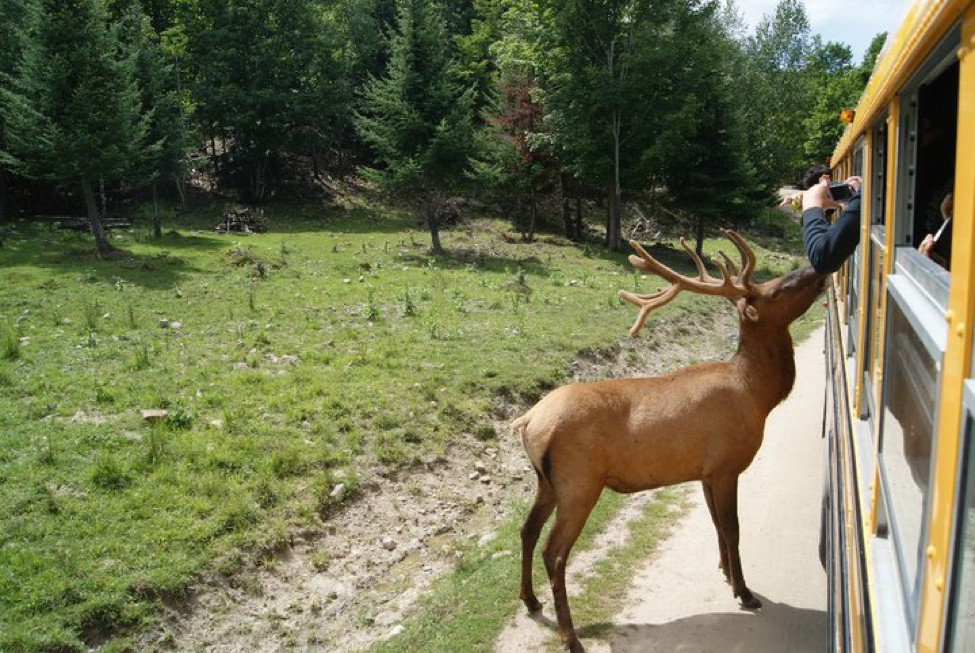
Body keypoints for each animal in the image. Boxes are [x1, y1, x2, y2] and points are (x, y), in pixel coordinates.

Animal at [516, 232, 828, 648]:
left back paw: (531, 601)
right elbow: (733, 529)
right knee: (555, 552)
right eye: (777, 290)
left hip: (547, 482)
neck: (757, 396)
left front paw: (726, 573)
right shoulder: (727, 464)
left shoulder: (706, 471)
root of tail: (528, 420)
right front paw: (745, 592)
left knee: (527, 530)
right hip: (578, 483)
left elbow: (717, 526)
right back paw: (571, 637)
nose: (816, 269)